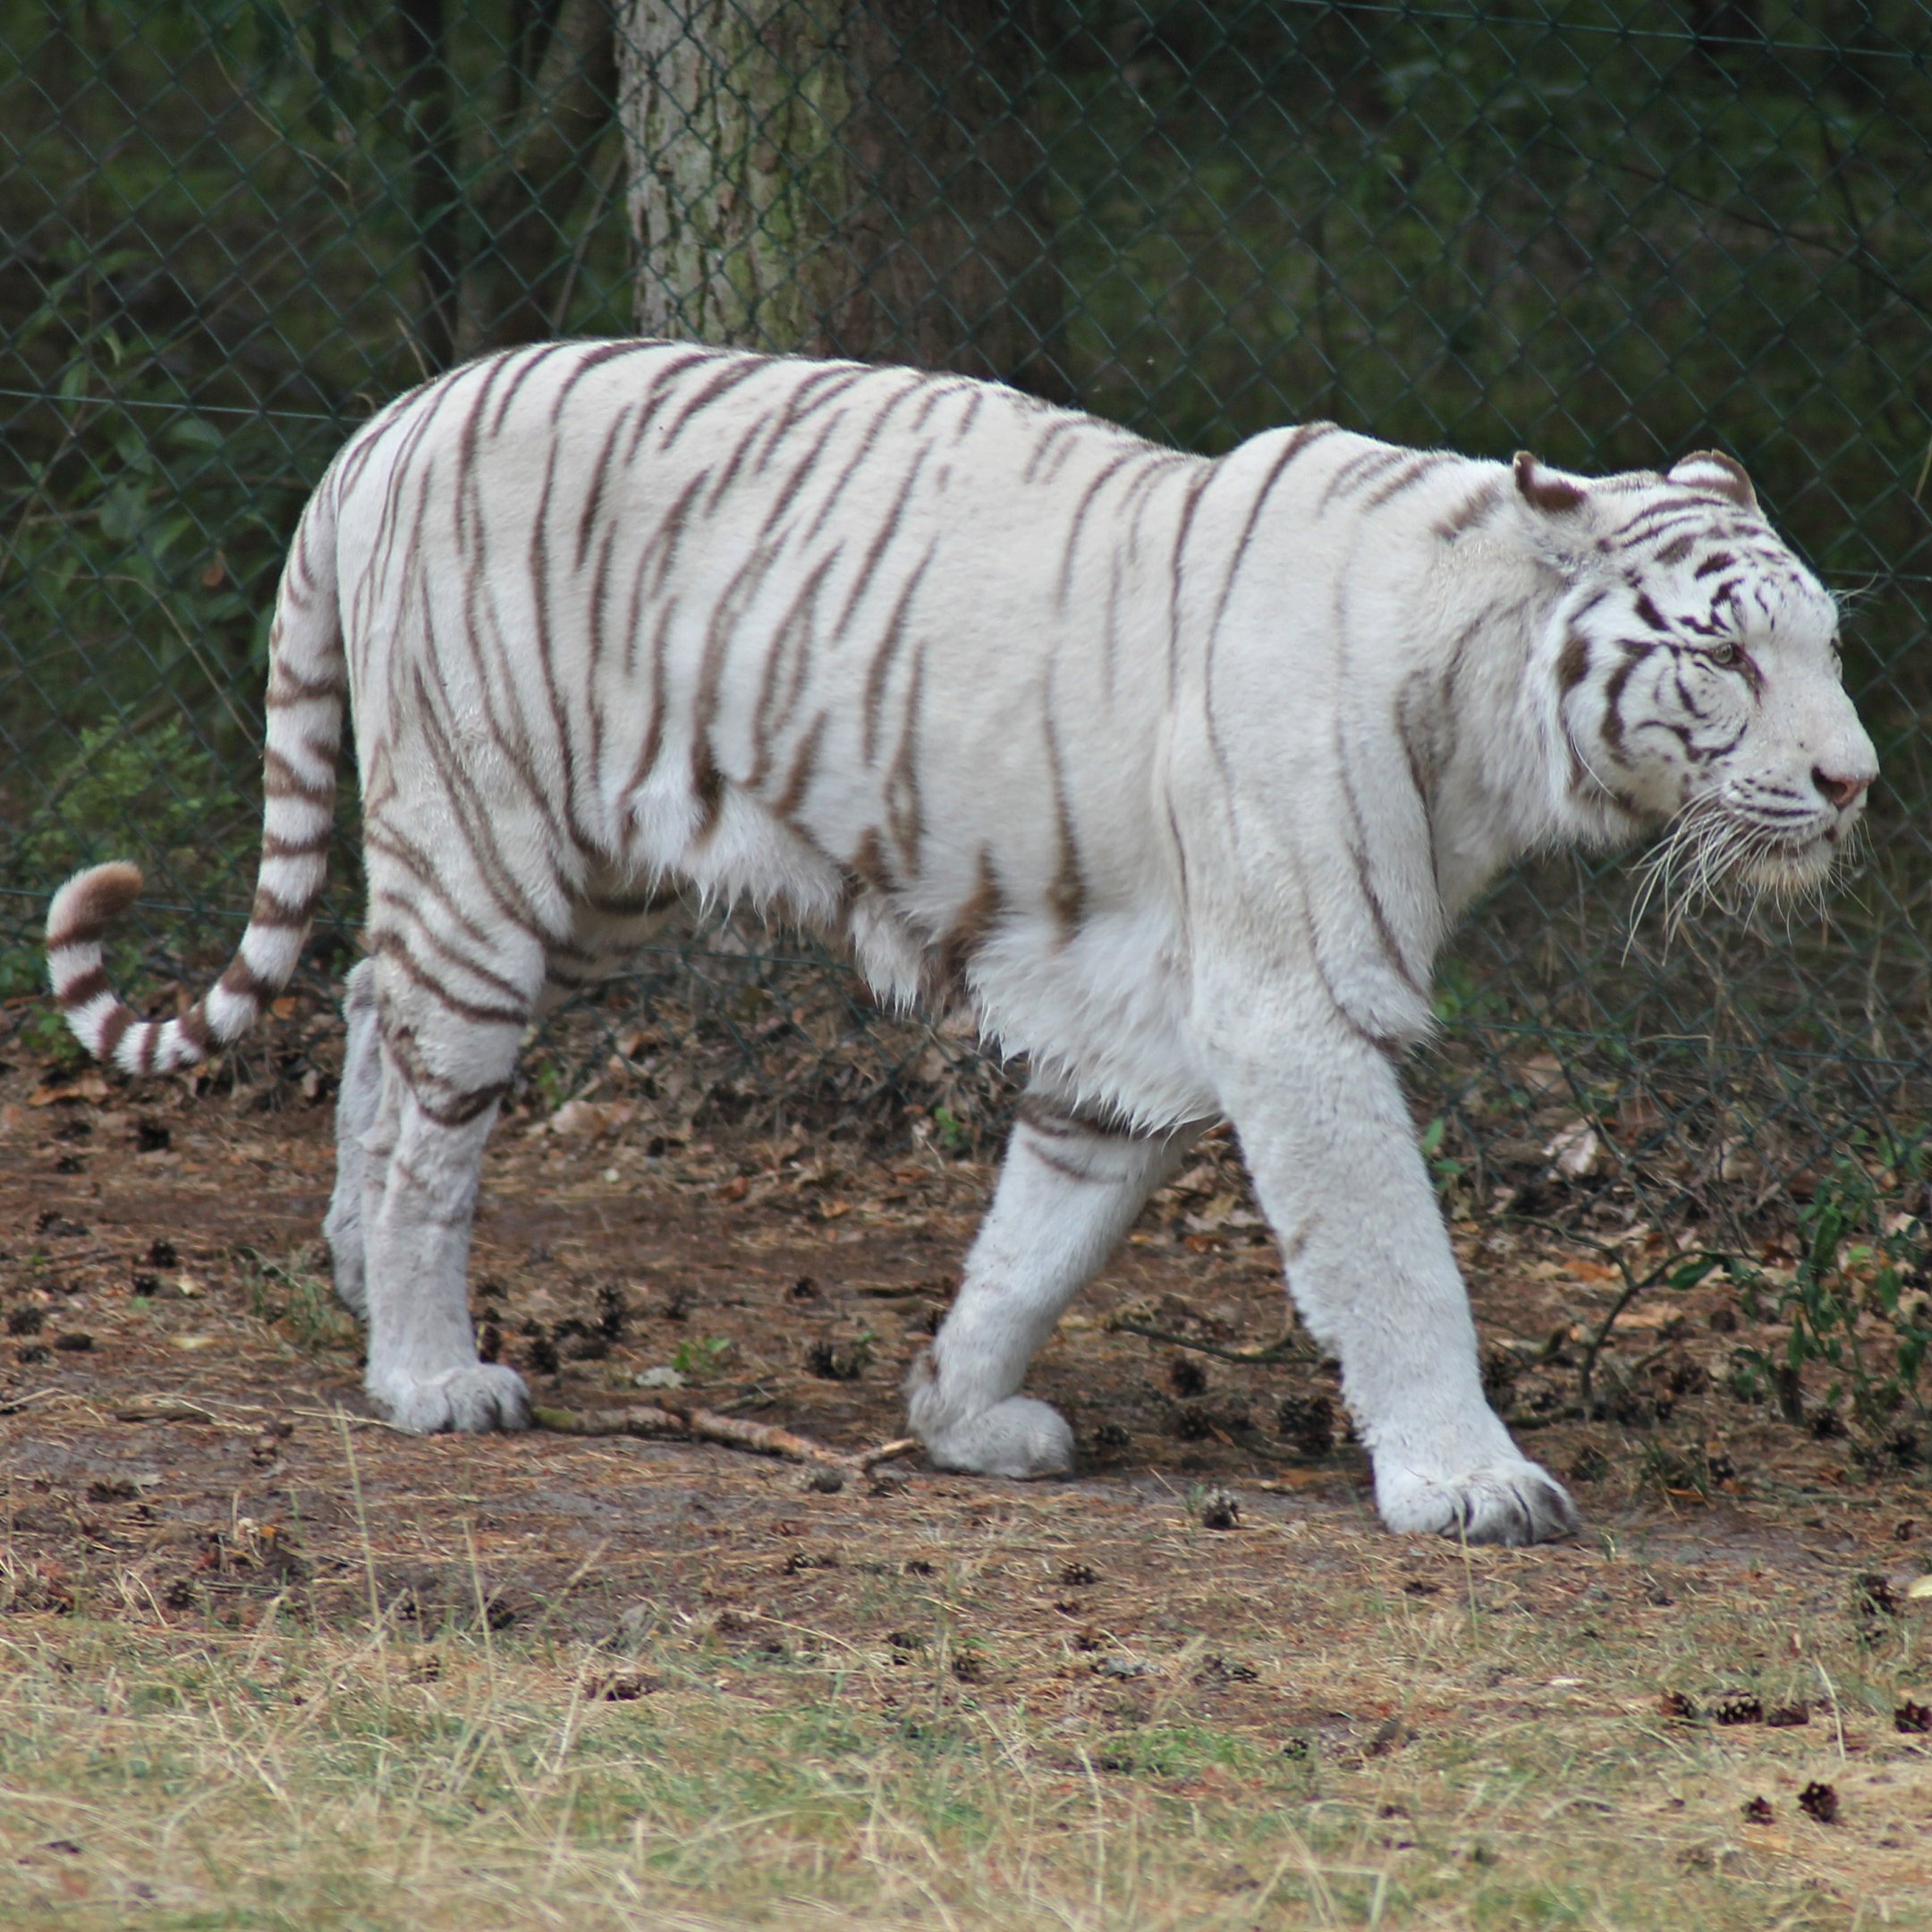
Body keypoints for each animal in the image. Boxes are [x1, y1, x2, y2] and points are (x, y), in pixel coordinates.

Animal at [46, 339, 1875, 1545]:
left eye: (1829, 648)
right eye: (1724, 653)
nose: (1856, 781)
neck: (1492, 732)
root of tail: (386, 420)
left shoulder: (1139, 1028)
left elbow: (1041, 1234)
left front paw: (959, 1415)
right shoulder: (1299, 1010)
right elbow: (1395, 1259)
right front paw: (1469, 1483)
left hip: (590, 883)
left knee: (374, 995)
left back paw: (355, 1274)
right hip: (499, 845)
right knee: (437, 1115)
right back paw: (427, 1368)